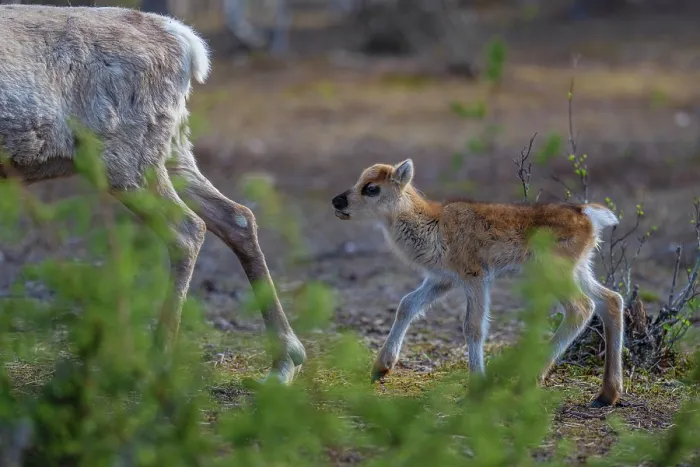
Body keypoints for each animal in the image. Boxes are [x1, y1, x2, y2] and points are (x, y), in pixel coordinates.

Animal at [0, 4, 305, 383]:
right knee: (237, 217)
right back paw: (285, 361)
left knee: (188, 229)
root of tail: (184, 42)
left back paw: (157, 359)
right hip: (172, 149)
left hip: (127, 160)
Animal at [331, 159, 625, 407]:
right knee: (611, 300)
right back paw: (606, 395)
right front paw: (380, 368)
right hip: (580, 270)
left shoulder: (475, 277)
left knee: (581, 307)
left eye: (371, 188)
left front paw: (475, 390)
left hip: (554, 273)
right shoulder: (442, 279)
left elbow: (472, 326)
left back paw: (526, 382)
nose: (337, 201)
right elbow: (407, 305)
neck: (435, 225)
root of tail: (587, 215)